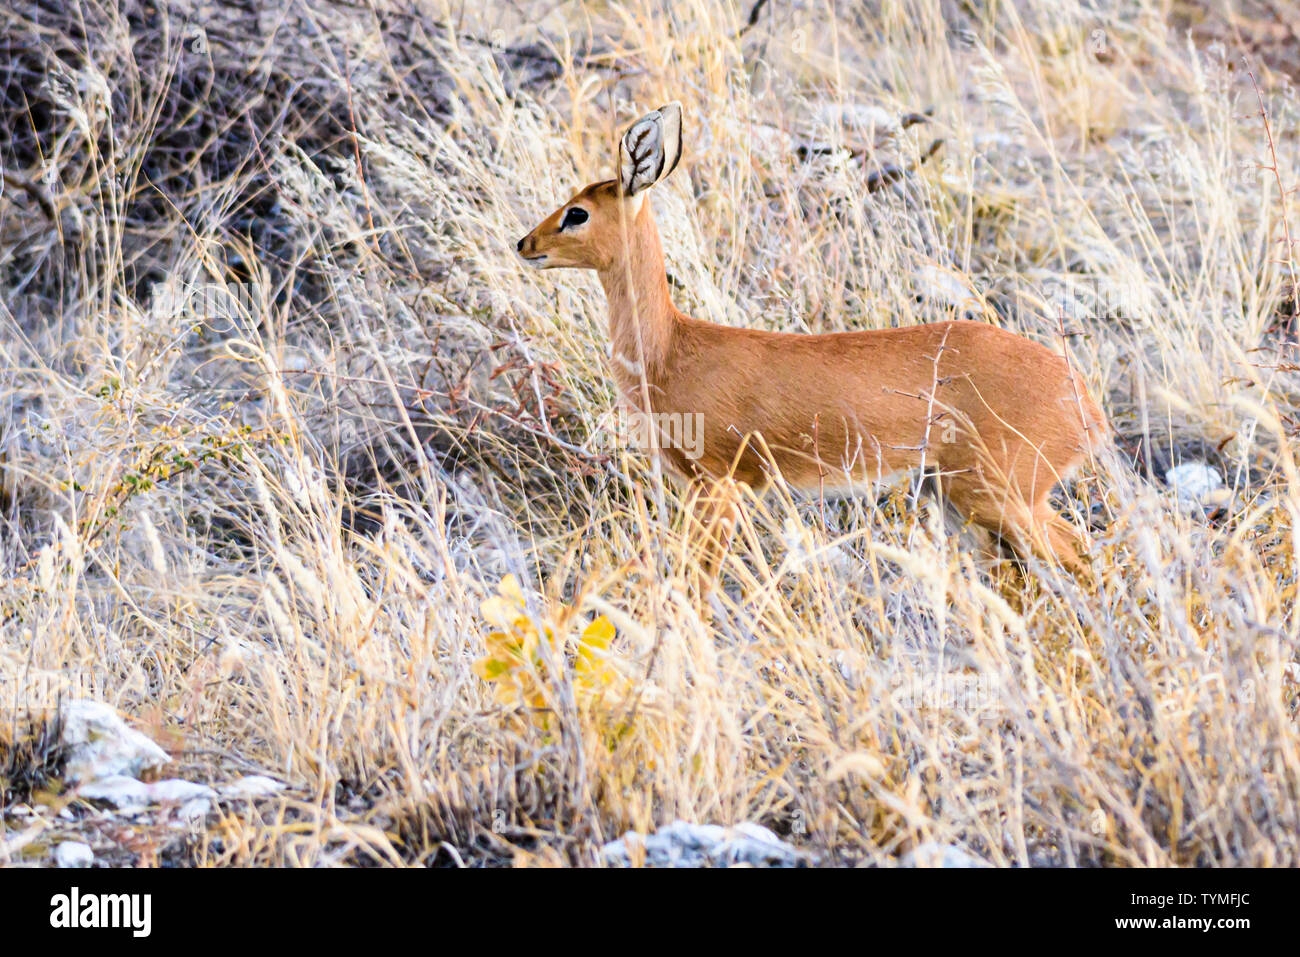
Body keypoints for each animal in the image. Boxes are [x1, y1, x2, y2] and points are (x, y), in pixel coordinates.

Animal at [517, 102, 1107, 574]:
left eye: (577, 213)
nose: (525, 244)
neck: (670, 351)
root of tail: (1086, 404)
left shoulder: (721, 484)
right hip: (954, 498)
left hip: (998, 496)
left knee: (1083, 556)